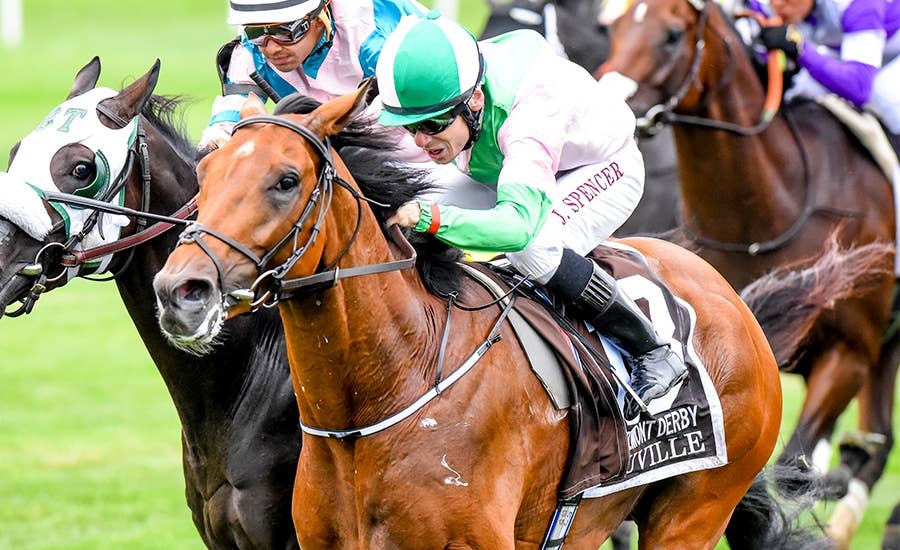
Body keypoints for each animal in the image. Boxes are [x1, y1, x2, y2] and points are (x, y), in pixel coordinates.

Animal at [150, 79, 833, 548]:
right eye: (205, 173)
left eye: (286, 179)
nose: (181, 290)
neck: (384, 394)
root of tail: (730, 296)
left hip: (693, 512)